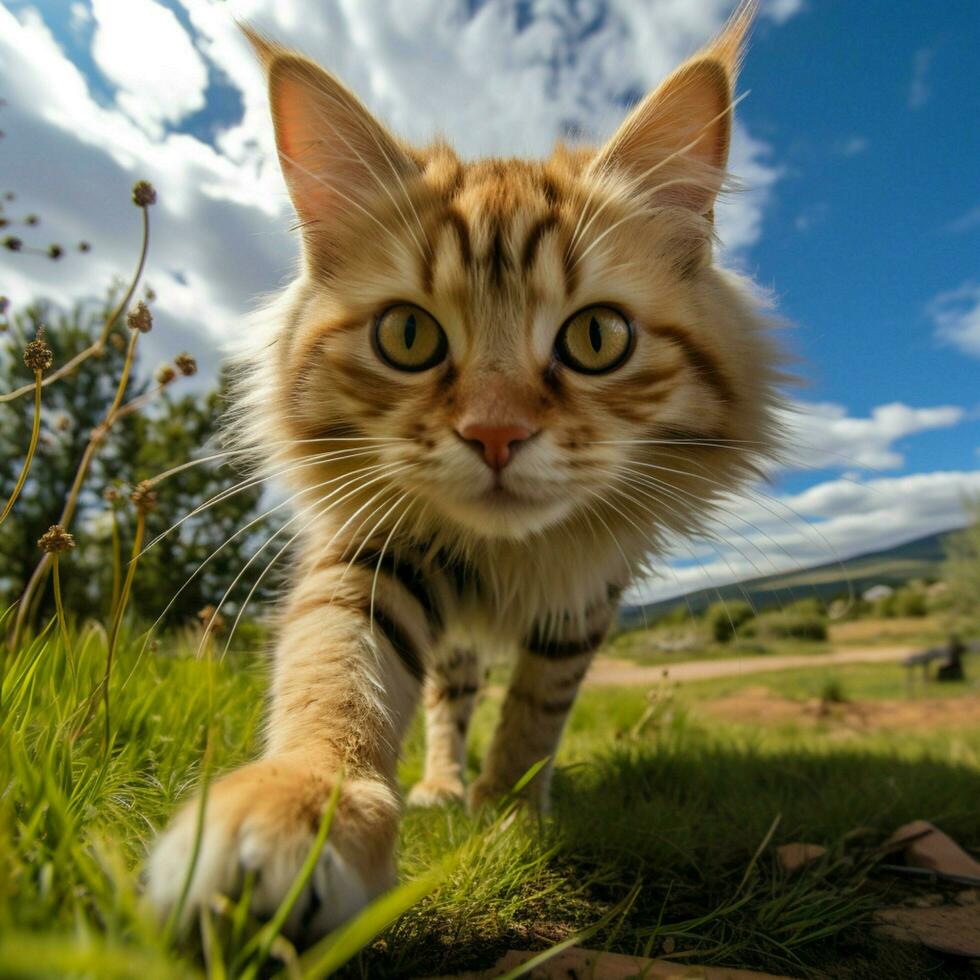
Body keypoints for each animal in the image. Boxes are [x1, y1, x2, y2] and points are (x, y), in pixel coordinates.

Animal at [147, 1, 780, 940]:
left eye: (598, 338)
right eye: (408, 336)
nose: (495, 434)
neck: (510, 557)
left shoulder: (587, 592)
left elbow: (538, 711)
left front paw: (512, 812)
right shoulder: (373, 553)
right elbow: (336, 687)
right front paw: (295, 817)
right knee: (450, 699)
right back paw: (440, 785)